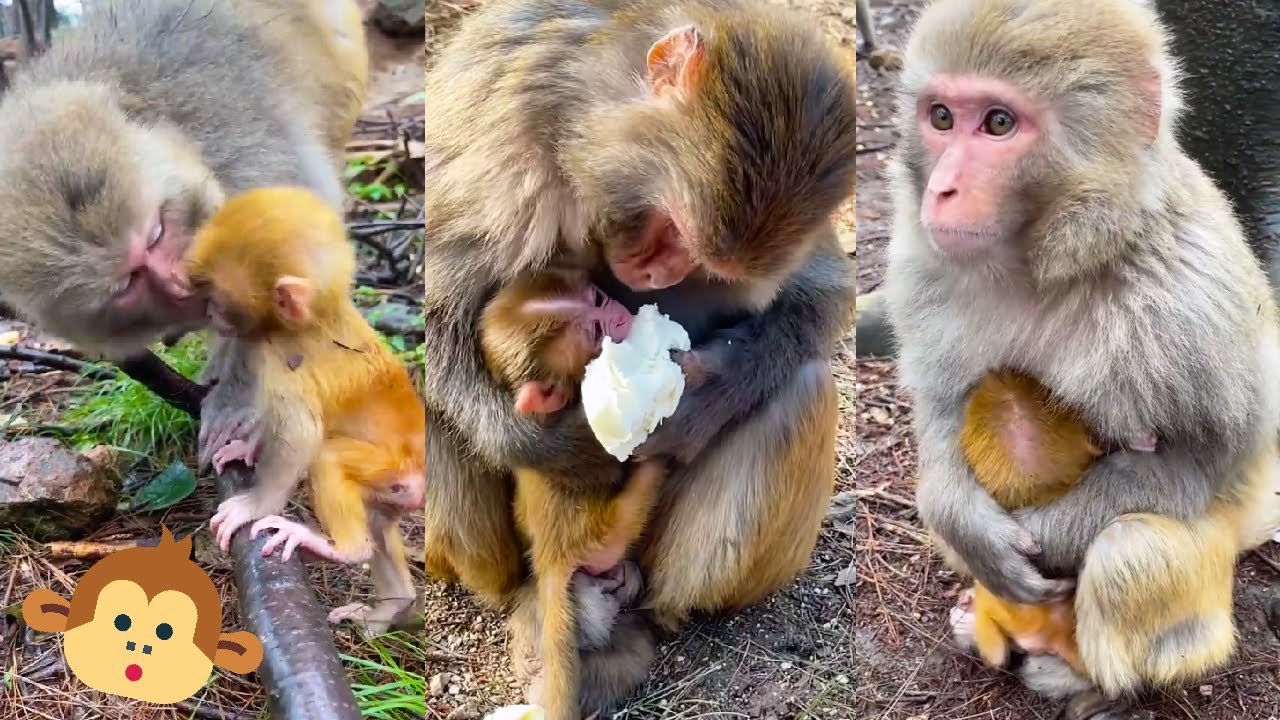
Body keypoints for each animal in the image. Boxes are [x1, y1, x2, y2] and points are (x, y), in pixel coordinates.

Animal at [184, 187, 424, 634]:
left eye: (217, 299)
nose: (206, 313)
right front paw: (247, 448)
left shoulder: (274, 355)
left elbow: (301, 432)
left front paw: (255, 504)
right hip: (396, 492)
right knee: (380, 524)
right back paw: (394, 607)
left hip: (397, 471)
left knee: (327, 457)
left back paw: (345, 551)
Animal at [882, 0, 1280, 711]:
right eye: (942, 117)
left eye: (999, 123)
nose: (943, 190)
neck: (1042, 265)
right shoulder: (919, 262)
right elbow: (940, 403)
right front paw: (970, 527)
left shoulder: (1189, 309)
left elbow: (1199, 467)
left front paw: (1047, 536)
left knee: (1132, 549)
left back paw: (1090, 682)